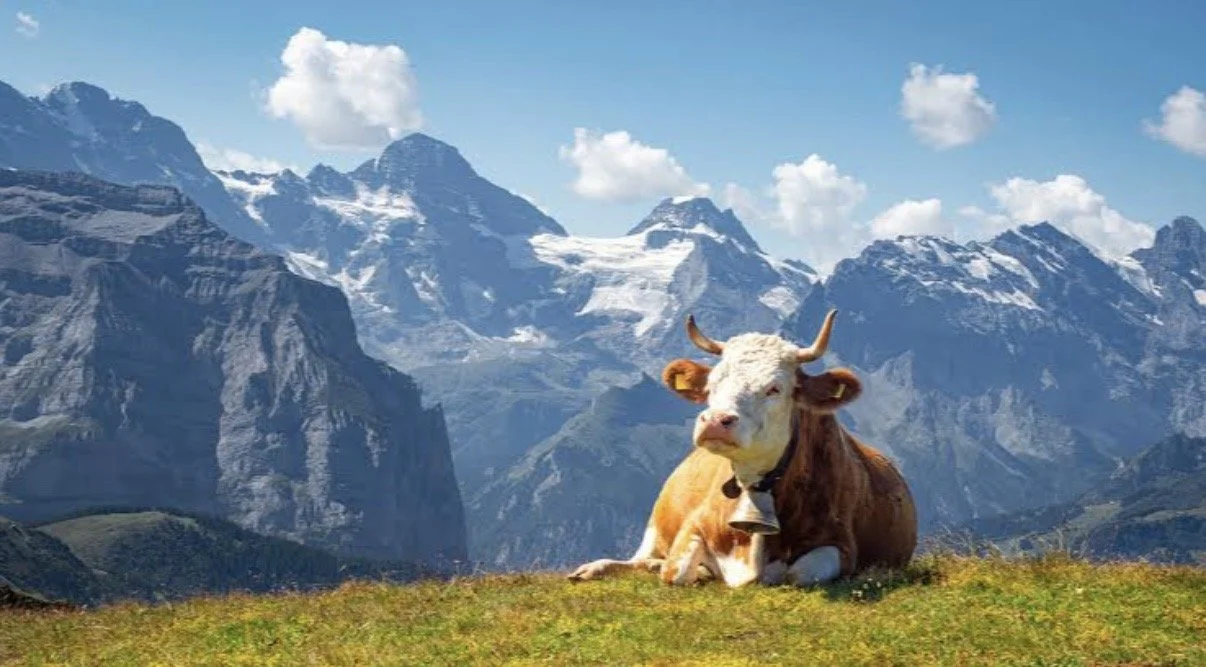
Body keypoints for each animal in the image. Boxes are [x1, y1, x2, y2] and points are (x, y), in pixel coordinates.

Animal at [567, 310, 917, 588]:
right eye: (712, 384)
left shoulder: (841, 544)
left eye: (775, 388)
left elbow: (798, 574)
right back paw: (595, 568)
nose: (714, 420)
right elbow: (676, 571)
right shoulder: (694, 523)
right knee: (639, 559)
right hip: (654, 526)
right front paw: (694, 570)